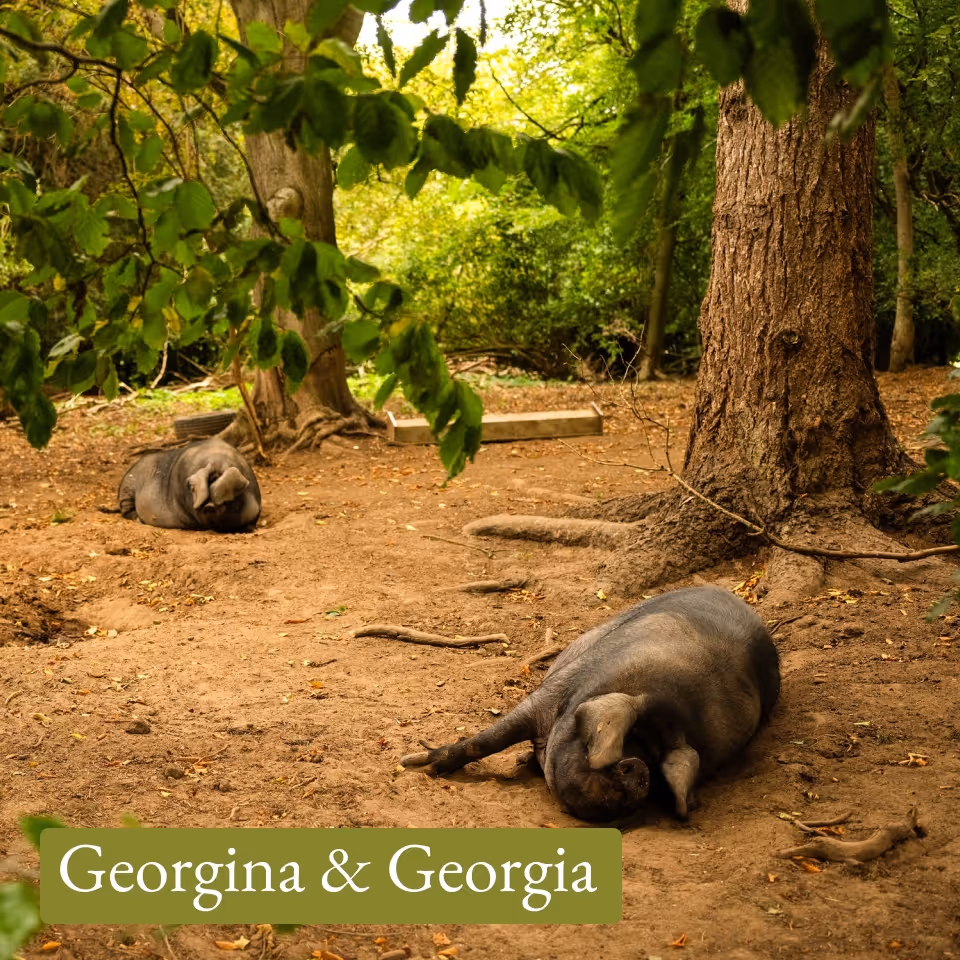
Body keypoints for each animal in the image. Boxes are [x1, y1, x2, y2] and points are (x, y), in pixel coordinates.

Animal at [400, 585, 780, 823]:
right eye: (625, 741)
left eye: (656, 764)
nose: (637, 768)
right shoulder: (550, 694)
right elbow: (490, 739)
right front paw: (415, 765)